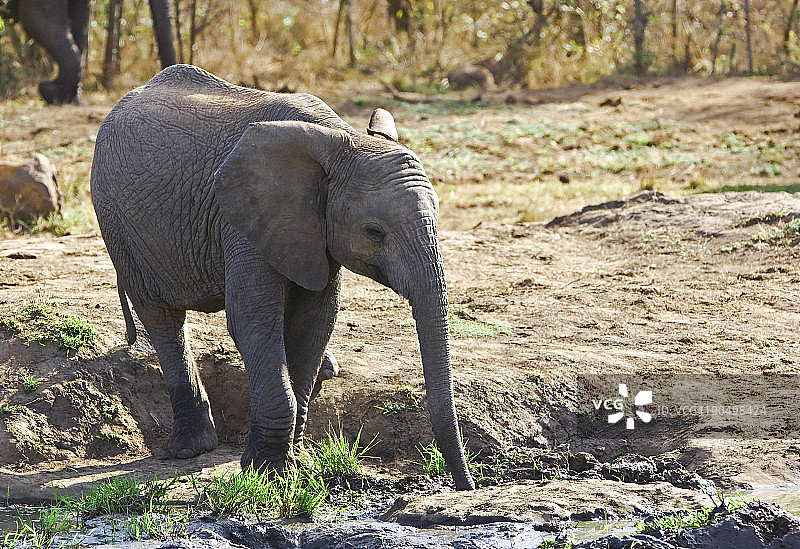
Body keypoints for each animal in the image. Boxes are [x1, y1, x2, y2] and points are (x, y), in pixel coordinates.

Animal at [90, 64, 475, 491]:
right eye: (374, 232)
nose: (466, 485)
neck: (340, 140)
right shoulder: (243, 218)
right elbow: (252, 319)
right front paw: (268, 472)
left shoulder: (312, 229)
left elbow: (315, 321)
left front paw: (297, 462)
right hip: (120, 227)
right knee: (161, 317)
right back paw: (192, 449)